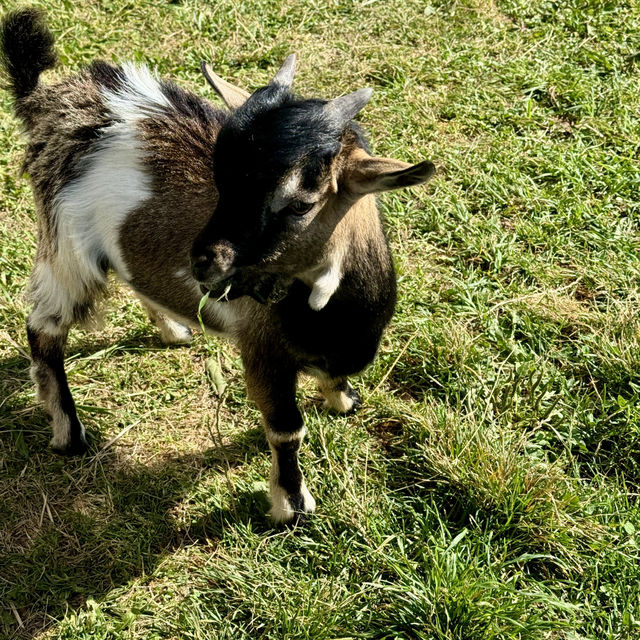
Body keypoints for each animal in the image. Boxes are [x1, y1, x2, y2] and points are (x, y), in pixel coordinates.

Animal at [1, 7, 436, 524]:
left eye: (299, 204)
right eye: (220, 179)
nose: (202, 262)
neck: (334, 319)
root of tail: (52, 100)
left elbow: (334, 380)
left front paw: (344, 401)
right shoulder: (262, 349)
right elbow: (286, 429)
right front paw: (291, 506)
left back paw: (173, 329)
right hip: (66, 247)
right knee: (44, 327)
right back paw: (69, 433)